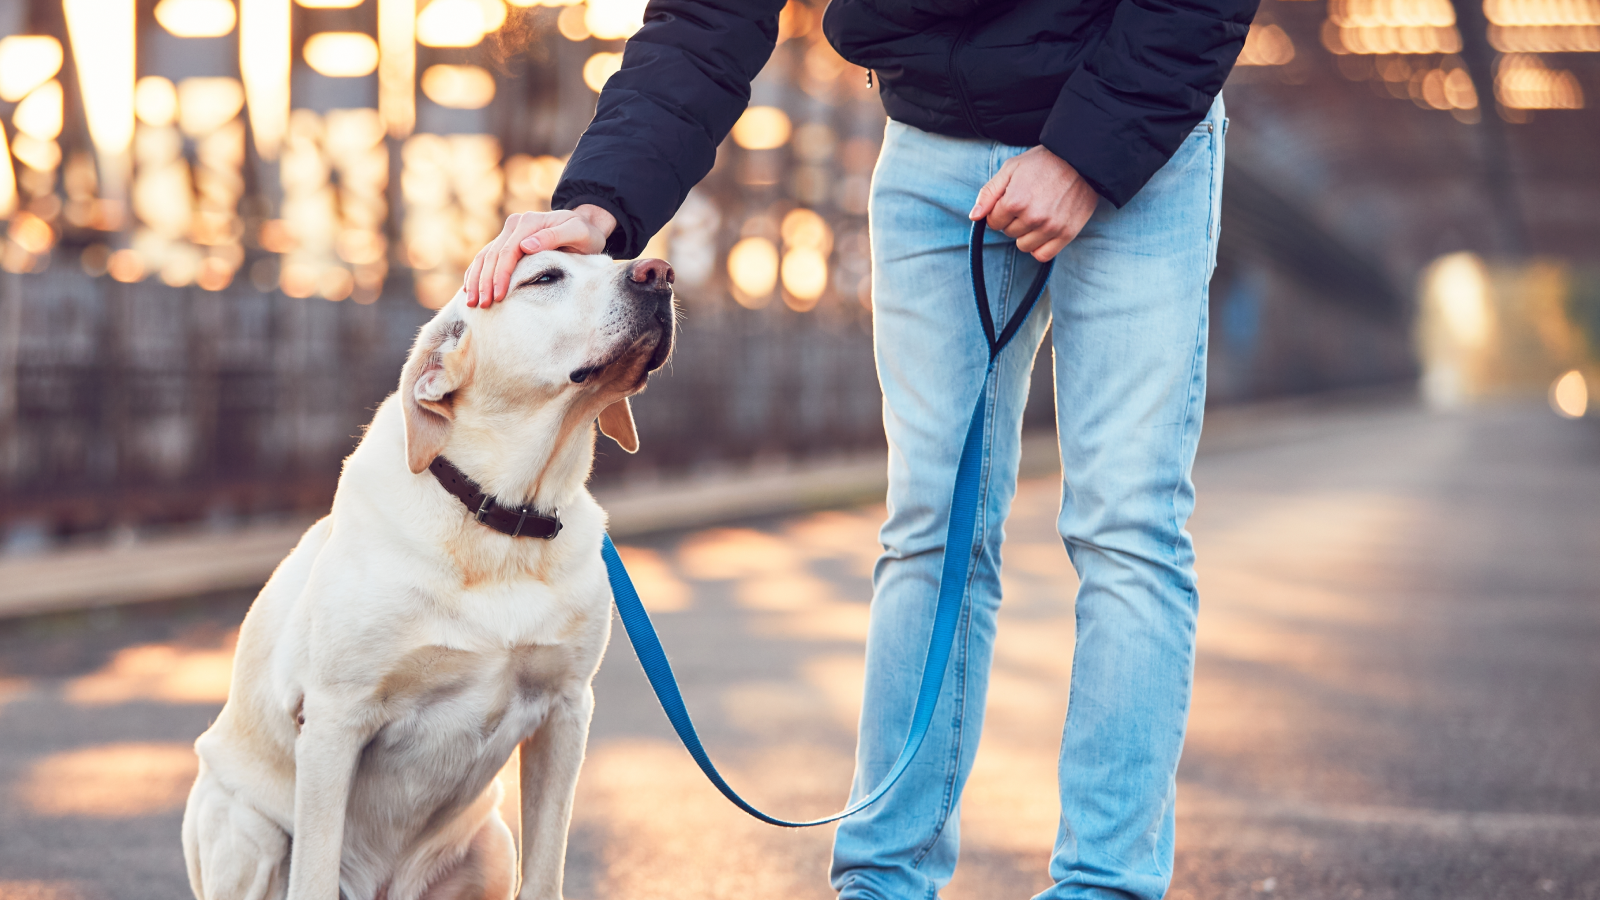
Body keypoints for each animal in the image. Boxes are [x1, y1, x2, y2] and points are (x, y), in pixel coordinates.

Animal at [184, 249, 678, 896]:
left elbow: (546, 872)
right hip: (248, 828)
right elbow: (314, 872)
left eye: (611, 256)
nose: (660, 273)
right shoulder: (334, 720)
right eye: (544, 277)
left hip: (493, 842)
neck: (503, 521)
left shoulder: (567, 710)